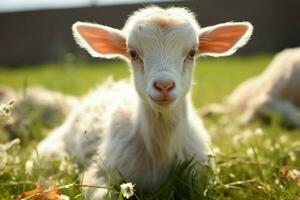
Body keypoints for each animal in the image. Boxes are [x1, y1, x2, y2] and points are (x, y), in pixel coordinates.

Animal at [34, 5, 252, 198]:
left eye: (192, 52)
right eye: (133, 53)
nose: (164, 85)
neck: (159, 152)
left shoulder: (201, 175)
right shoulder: (98, 171)